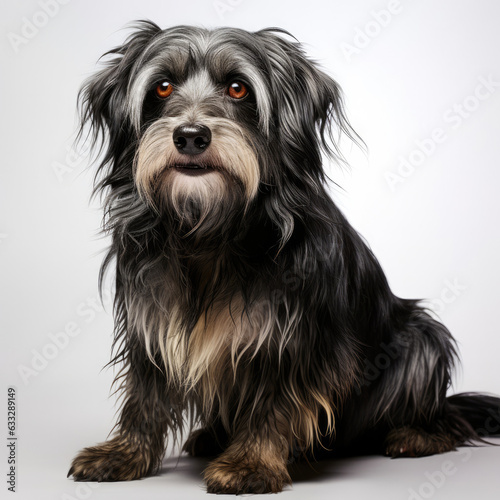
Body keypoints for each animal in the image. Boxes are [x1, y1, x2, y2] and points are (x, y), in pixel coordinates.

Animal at [67, 22, 500, 492]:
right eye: (162, 87)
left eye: (238, 88)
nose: (191, 136)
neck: (211, 229)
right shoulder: (151, 321)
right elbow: (144, 396)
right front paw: (125, 453)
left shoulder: (291, 337)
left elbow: (275, 401)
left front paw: (251, 462)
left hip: (422, 337)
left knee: (445, 418)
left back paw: (416, 434)